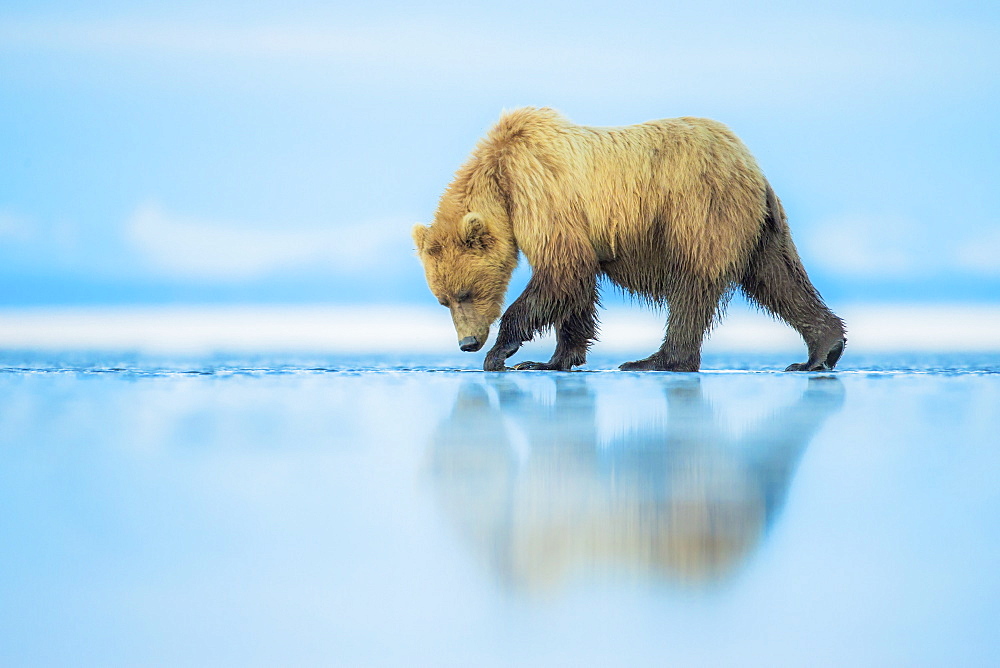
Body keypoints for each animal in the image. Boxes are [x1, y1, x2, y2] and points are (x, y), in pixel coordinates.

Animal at [412, 107, 844, 374]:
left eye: (466, 293)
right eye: (443, 299)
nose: (467, 343)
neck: (501, 179)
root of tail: (751, 164)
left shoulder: (542, 194)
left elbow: (562, 270)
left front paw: (504, 352)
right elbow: (576, 287)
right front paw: (553, 359)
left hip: (698, 209)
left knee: (692, 287)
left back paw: (658, 359)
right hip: (758, 226)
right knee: (777, 277)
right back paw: (822, 350)